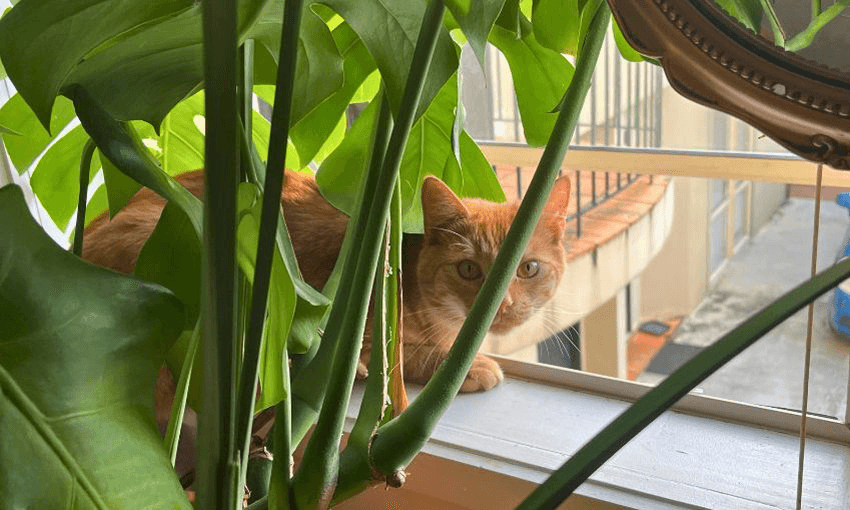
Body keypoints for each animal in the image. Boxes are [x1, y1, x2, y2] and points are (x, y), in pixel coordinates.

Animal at [83, 171, 568, 406]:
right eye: (468, 269)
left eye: (528, 268)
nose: (502, 306)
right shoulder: (356, 337)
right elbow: (405, 357)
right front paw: (470, 366)